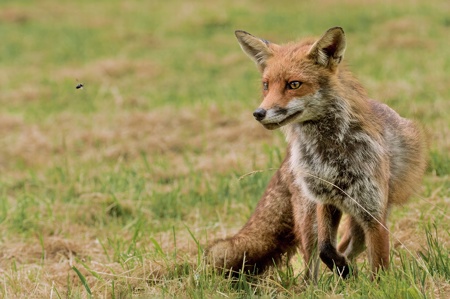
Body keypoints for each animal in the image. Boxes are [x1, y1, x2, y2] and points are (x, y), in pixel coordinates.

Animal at [206, 26, 428, 282]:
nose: (258, 113)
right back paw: (322, 282)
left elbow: (379, 266)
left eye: (294, 84)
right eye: (266, 85)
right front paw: (345, 272)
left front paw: (375, 284)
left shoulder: (373, 213)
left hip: (362, 221)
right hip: (309, 216)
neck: (329, 157)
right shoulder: (326, 201)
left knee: (349, 246)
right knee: (316, 260)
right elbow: (326, 250)